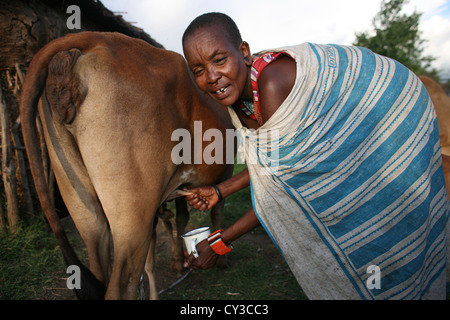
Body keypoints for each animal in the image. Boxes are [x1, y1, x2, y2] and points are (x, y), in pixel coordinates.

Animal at [19, 31, 234, 298]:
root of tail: (95, 37)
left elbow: (176, 222)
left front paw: (178, 261)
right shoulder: (223, 171)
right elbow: (212, 211)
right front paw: (218, 259)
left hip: (82, 203)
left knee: (99, 262)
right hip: (132, 212)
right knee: (123, 281)